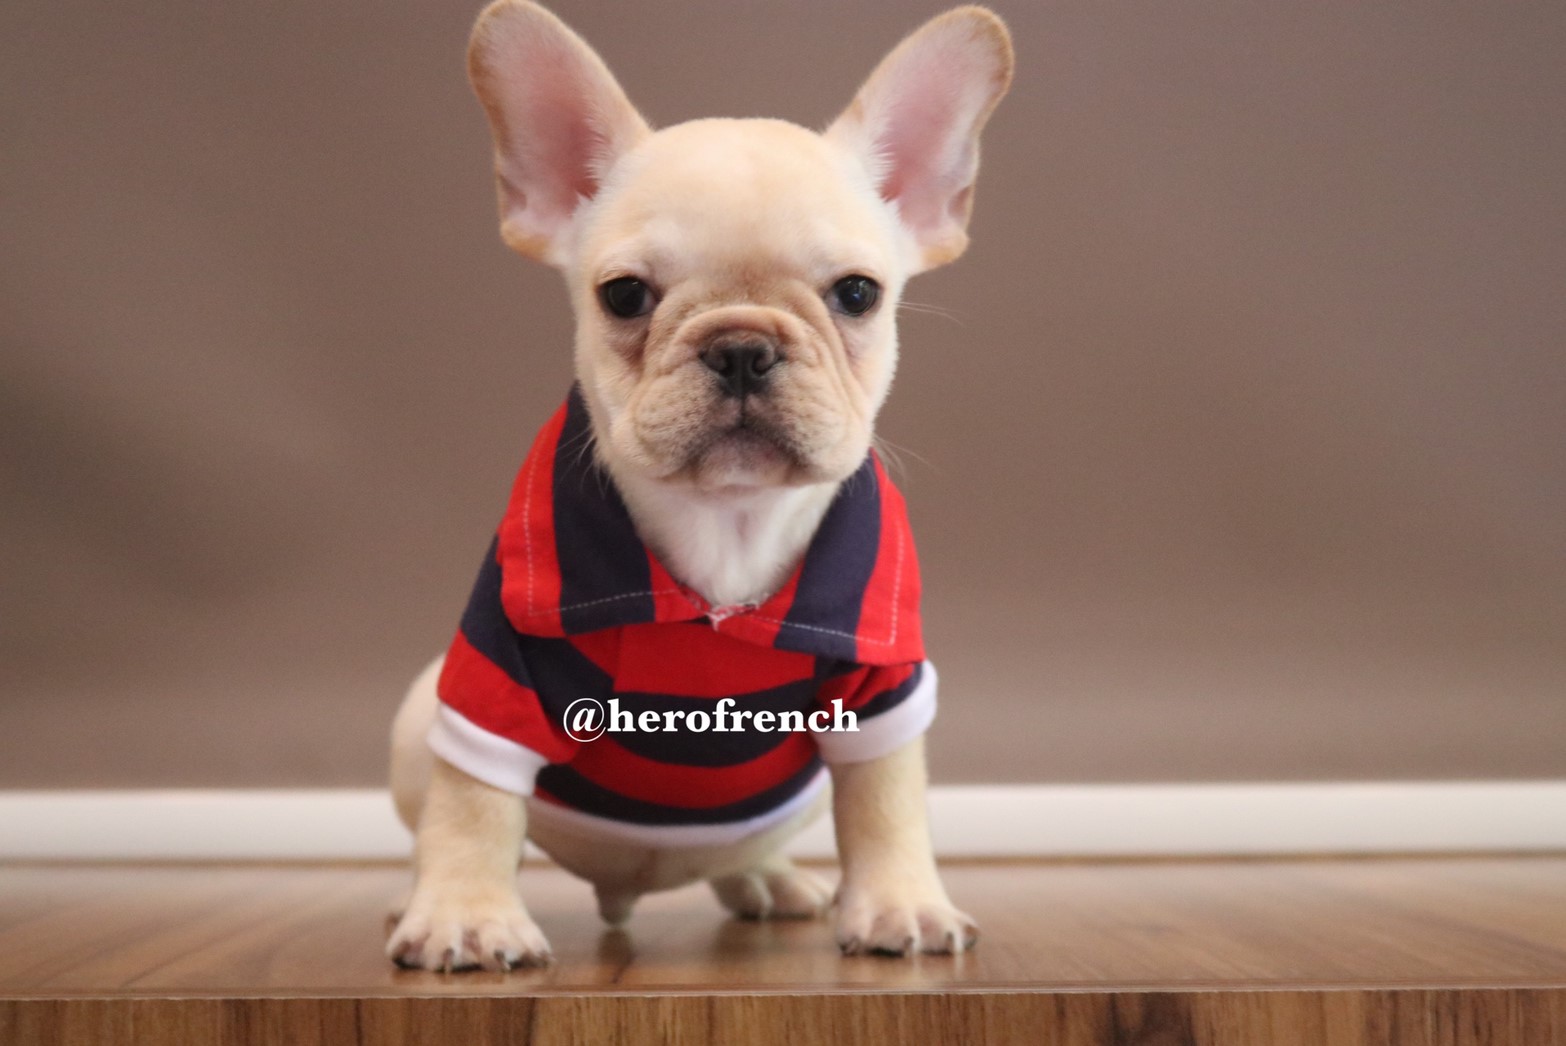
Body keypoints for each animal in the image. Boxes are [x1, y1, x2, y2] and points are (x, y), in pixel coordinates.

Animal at [386, 0, 1012, 971]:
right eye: (624, 295)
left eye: (858, 294)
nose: (742, 345)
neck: (730, 520)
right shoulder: (496, 672)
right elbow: (476, 805)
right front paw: (465, 914)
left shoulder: (883, 683)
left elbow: (884, 802)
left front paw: (901, 902)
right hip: (418, 715)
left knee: (749, 854)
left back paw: (773, 883)